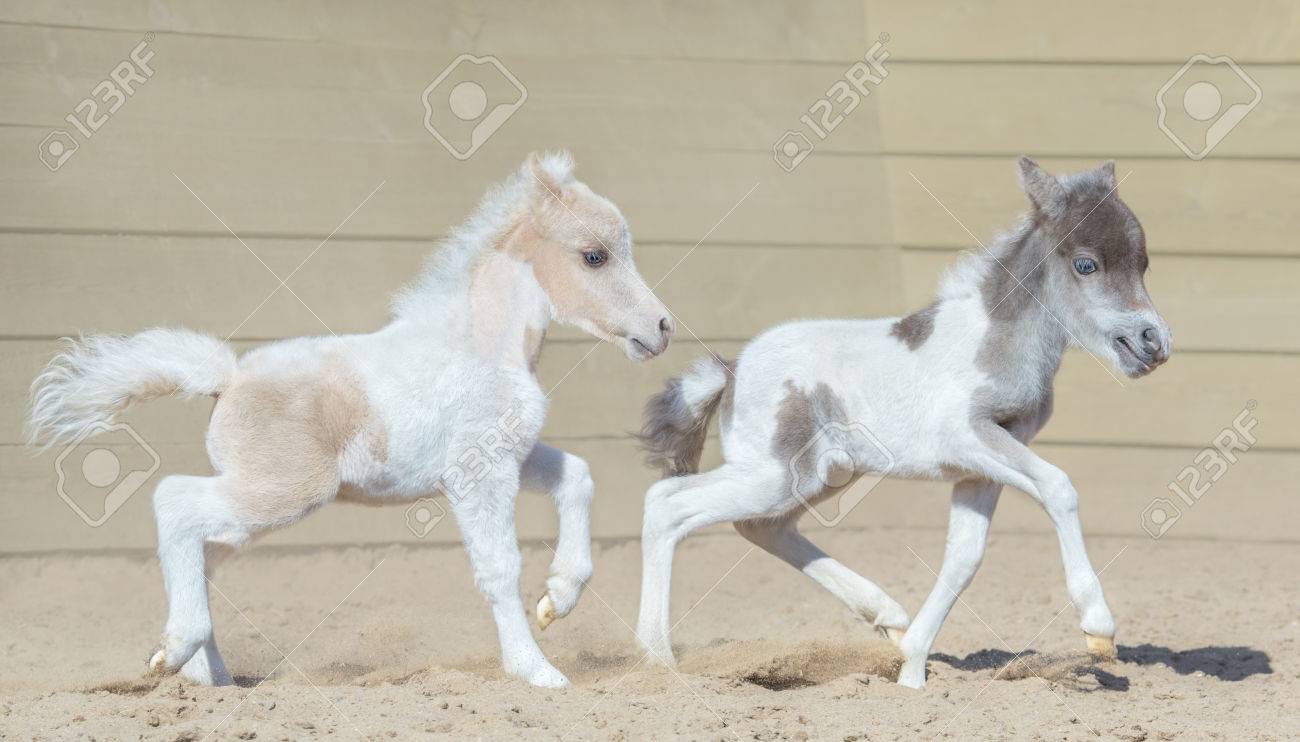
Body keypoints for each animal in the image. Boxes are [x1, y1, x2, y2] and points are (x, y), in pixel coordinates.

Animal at [28, 152, 673, 689]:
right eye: (594, 255)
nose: (662, 328)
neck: (477, 345)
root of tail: (228, 378)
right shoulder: (478, 475)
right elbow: (499, 567)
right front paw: (537, 672)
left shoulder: (509, 457)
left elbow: (579, 477)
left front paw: (558, 599)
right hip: (282, 491)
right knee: (174, 503)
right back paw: (176, 652)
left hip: (252, 510)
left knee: (201, 552)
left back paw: (211, 677)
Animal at [634, 157, 1171, 688]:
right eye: (1086, 263)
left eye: (1142, 263)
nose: (1154, 341)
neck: (993, 341)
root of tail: (731, 371)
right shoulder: (967, 437)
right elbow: (1059, 487)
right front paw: (1098, 627)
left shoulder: (981, 467)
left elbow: (964, 556)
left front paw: (911, 669)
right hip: (774, 475)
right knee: (667, 503)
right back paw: (657, 661)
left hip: (823, 475)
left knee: (761, 527)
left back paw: (888, 617)